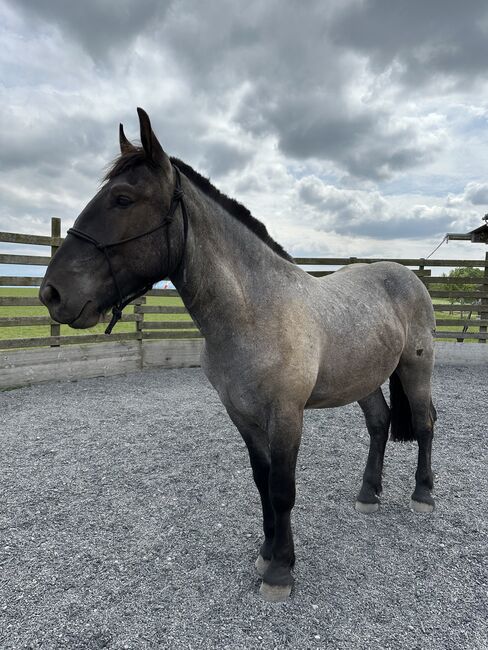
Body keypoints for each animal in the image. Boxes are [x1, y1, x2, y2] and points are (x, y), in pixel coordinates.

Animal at [40, 109, 438, 600]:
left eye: (122, 198)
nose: (52, 293)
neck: (253, 310)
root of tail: (407, 275)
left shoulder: (286, 414)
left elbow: (283, 488)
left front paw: (281, 571)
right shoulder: (242, 414)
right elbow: (262, 482)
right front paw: (267, 552)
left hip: (417, 366)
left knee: (424, 422)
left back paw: (423, 495)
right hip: (363, 378)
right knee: (380, 424)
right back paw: (368, 494)